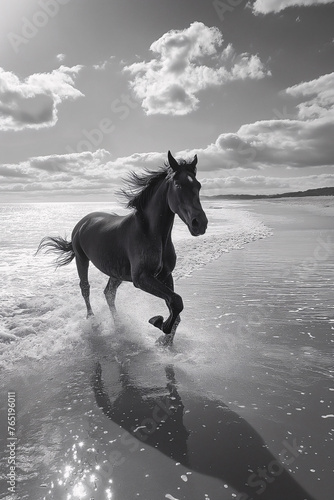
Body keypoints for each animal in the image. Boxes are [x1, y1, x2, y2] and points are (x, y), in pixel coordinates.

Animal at [37, 150, 207, 342]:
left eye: (198, 185)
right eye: (178, 185)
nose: (200, 224)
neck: (150, 232)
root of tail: (83, 222)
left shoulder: (165, 275)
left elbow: (175, 306)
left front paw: (164, 338)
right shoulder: (141, 278)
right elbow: (176, 302)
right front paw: (158, 322)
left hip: (116, 272)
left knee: (109, 293)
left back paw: (118, 325)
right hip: (82, 260)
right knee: (85, 288)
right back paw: (92, 319)